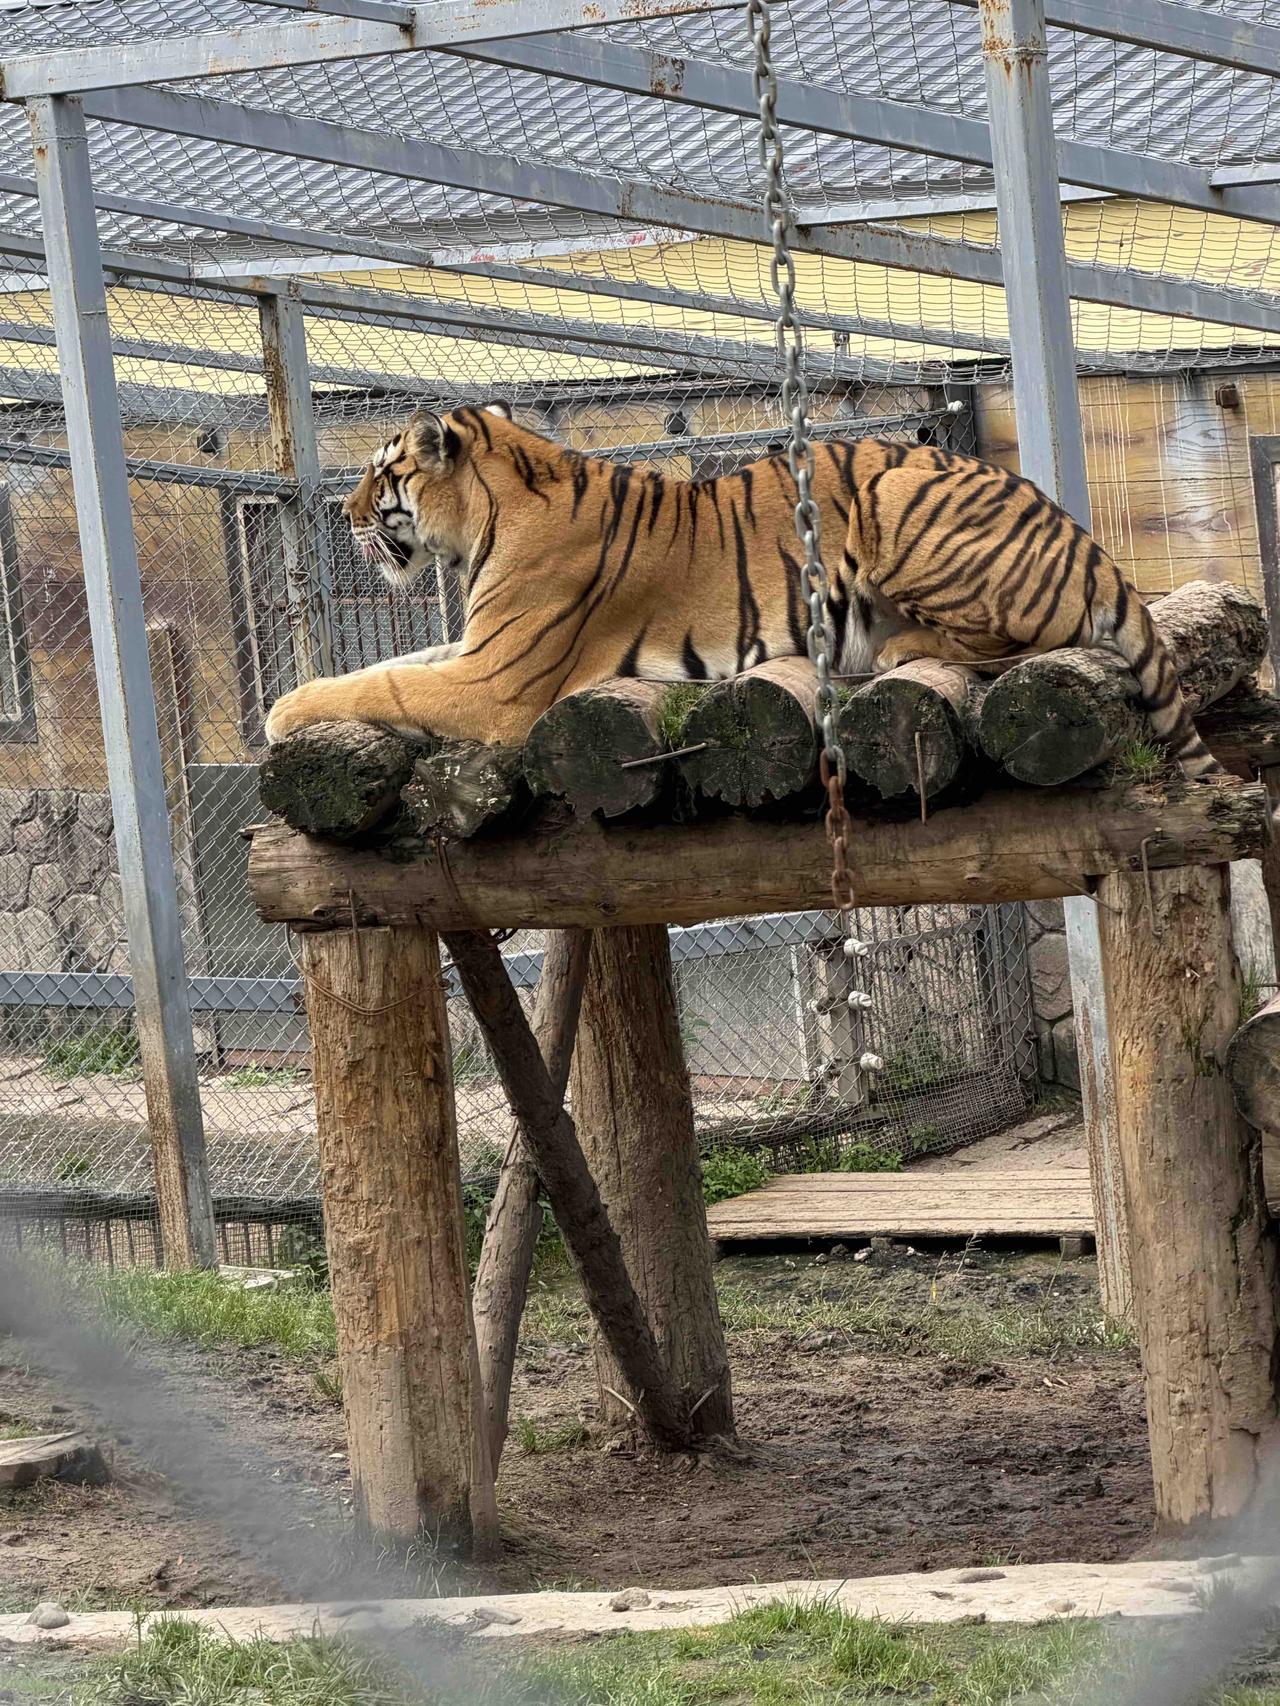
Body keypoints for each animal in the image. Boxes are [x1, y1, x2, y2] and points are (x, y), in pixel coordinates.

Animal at [263, 401, 1221, 779]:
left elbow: (383, 682)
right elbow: (389, 665)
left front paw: (280, 713)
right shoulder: (473, 651)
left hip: (896, 499)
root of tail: (1081, 536)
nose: (347, 511)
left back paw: (901, 645)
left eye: (382, 470)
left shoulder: (497, 680)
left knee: (1028, 637)